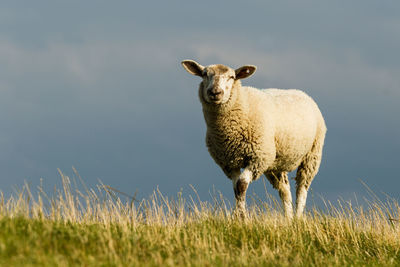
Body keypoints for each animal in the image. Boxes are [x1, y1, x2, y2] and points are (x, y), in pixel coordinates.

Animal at [181, 59, 324, 219]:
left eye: (232, 77)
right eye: (204, 74)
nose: (215, 92)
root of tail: (302, 93)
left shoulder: (257, 158)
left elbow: (241, 185)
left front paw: (241, 216)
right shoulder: (229, 163)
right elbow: (236, 189)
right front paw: (238, 215)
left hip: (312, 155)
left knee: (302, 188)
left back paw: (298, 217)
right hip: (275, 162)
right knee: (284, 190)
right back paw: (288, 218)